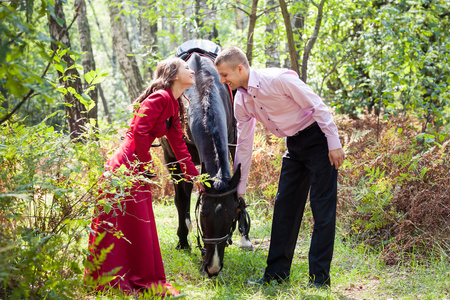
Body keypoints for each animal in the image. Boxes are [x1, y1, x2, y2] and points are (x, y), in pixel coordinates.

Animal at [161, 39, 253, 276]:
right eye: (202, 216)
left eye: (231, 218)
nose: (213, 267)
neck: (200, 89)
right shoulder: (174, 158)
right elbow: (181, 199)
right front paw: (183, 240)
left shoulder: (232, 143)